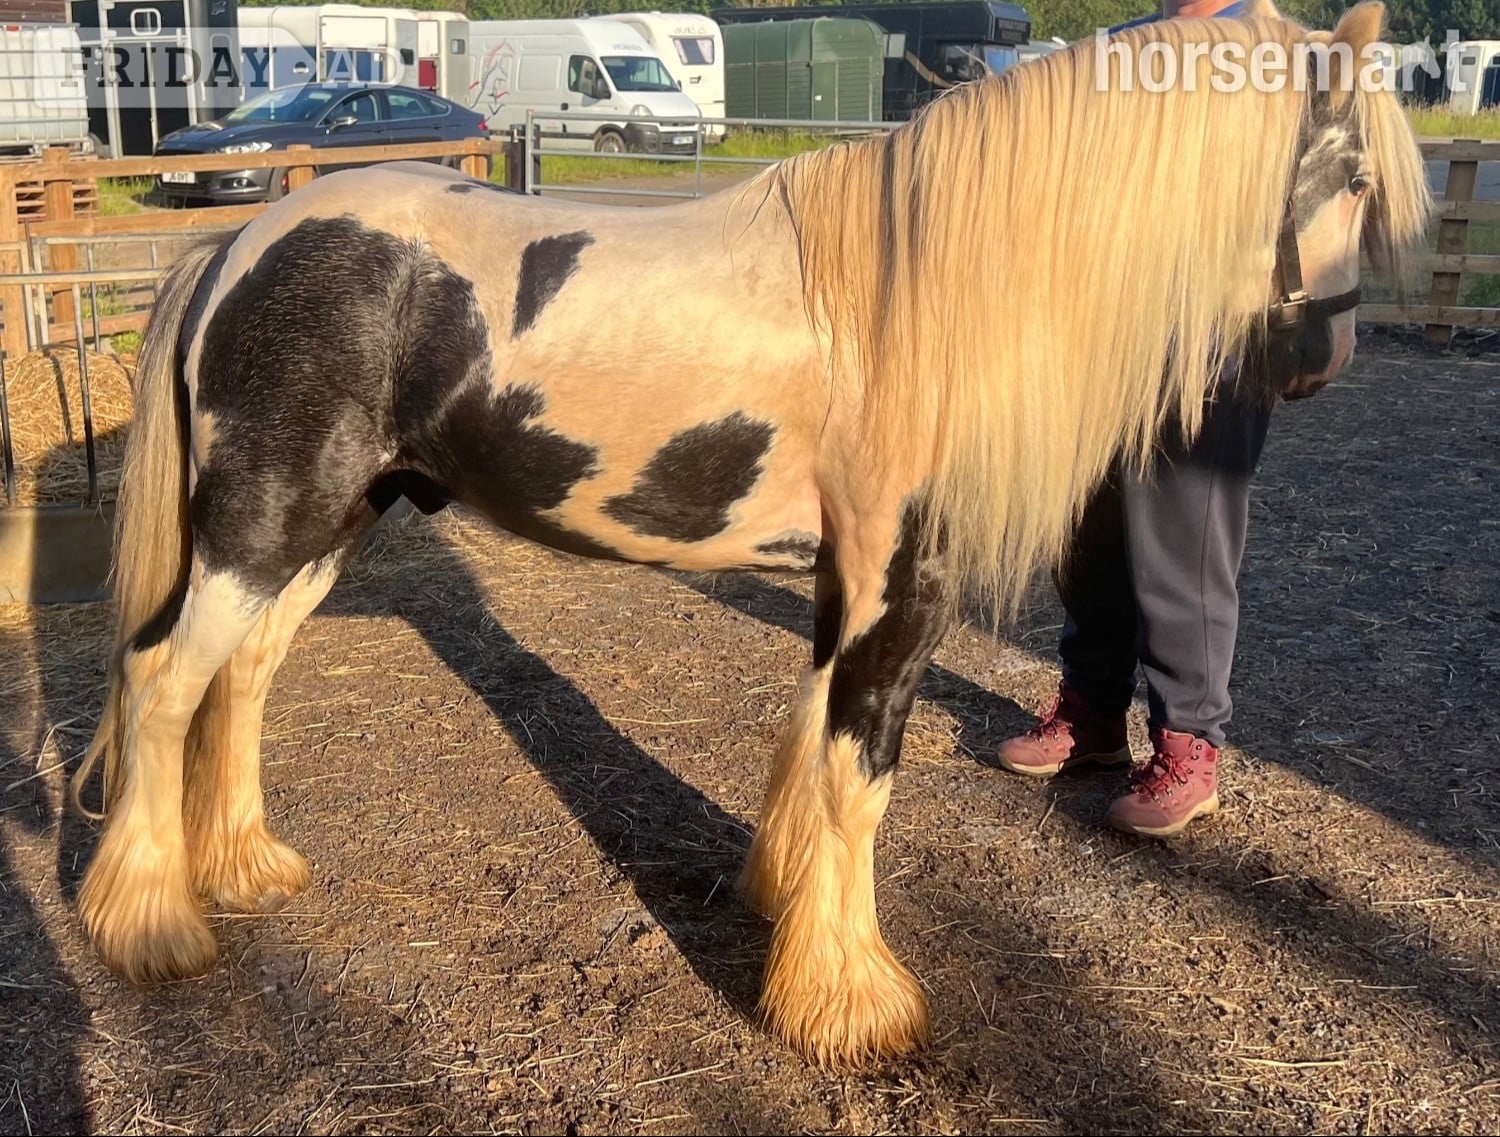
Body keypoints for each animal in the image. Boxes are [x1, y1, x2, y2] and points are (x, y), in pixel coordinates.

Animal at [71, 3, 1430, 1068]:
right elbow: (860, 778)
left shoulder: (846, 587)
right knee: (161, 681)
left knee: (241, 679)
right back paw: (151, 925)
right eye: (1357, 178)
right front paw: (853, 1004)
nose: (1323, 362)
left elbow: (811, 754)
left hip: (328, 527)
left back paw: (246, 867)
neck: (913, 302)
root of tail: (240, 244)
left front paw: (787, 917)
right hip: (260, 532)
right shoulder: (898, 591)